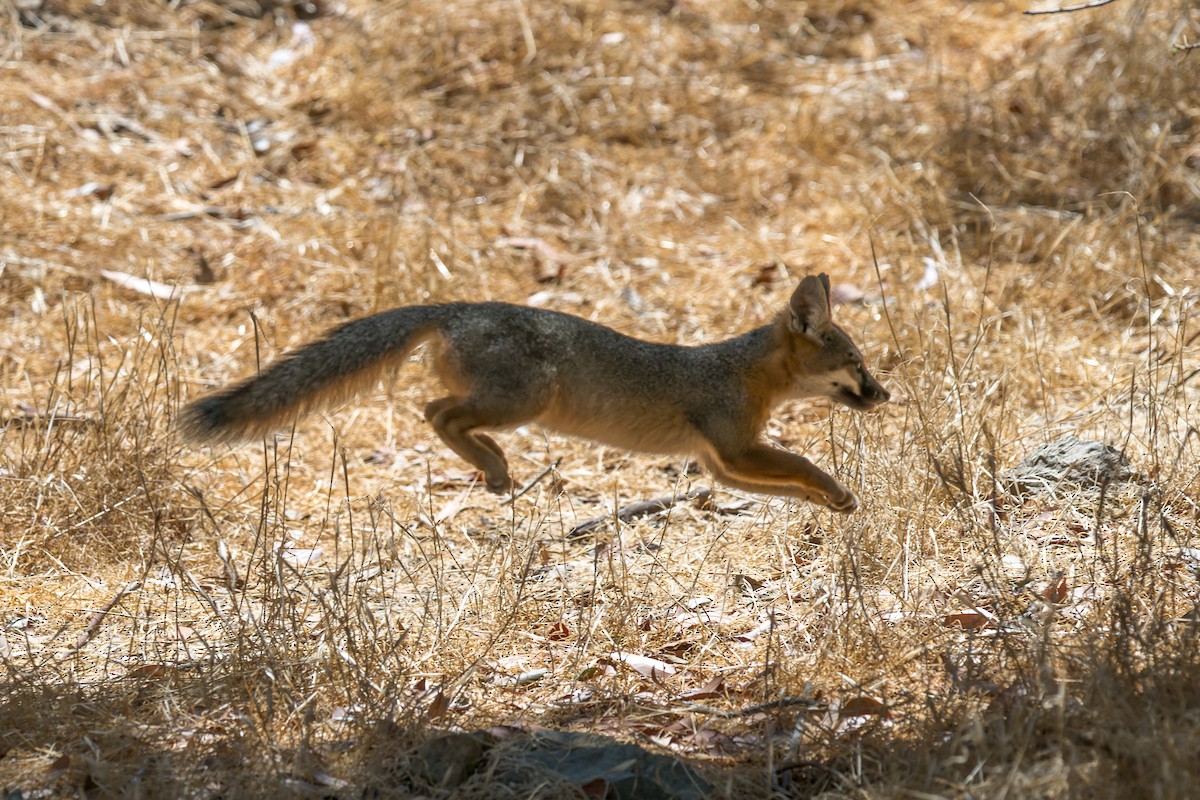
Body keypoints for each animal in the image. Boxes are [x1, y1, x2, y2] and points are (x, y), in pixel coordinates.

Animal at [180, 274, 889, 512]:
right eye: (856, 364)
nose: (884, 396)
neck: (740, 369)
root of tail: (457, 307)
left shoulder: (721, 463)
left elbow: (789, 479)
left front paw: (832, 503)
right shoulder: (736, 449)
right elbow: (803, 461)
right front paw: (836, 491)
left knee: (439, 413)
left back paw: (492, 469)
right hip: (526, 401)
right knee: (435, 412)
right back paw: (495, 469)